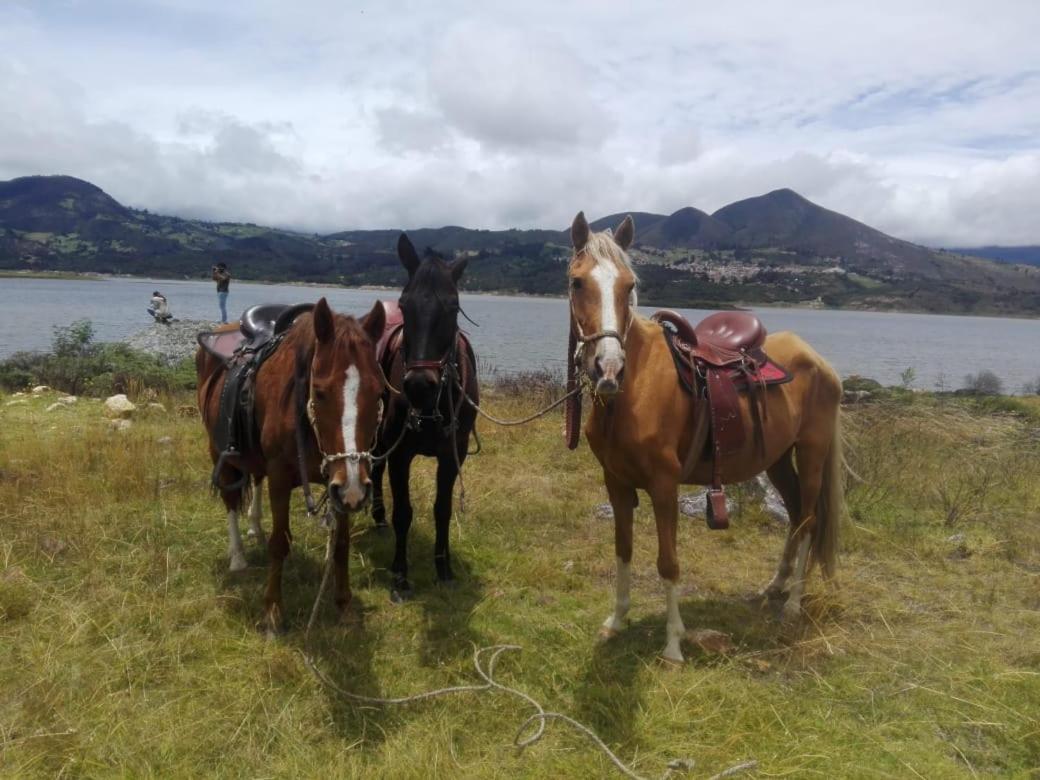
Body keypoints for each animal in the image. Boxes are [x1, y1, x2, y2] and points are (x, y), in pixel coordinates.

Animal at [195, 299, 386, 636]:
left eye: (378, 392)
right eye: (319, 392)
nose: (355, 488)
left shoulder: (338, 488)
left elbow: (341, 545)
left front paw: (344, 606)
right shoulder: (282, 479)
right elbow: (280, 542)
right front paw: (272, 612)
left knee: (255, 480)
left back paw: (255, 526)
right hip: (219, 452)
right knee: (230, 500)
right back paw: (238, 557)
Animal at [370, 235, 478, 603]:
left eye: (453, 306)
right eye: (405, 305)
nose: (419, 385)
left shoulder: (452, 454)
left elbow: (441, 509)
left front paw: (443, 569)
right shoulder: (400, 453)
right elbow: (404, 512)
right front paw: (400, 576)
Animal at [569, 214, 844, 665]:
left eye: (629, 285)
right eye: (577, 282)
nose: (608, 368)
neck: (632, 391)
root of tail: (818, 360)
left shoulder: (664, 485)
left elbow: (668, 563)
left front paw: (673, 645)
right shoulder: (616, 482)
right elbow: (623, 549)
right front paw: (617, 620)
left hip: (812, 454)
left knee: (807, 520)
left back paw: (792, 604)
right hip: (777, 460)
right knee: (792, 514)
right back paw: (776, 585)